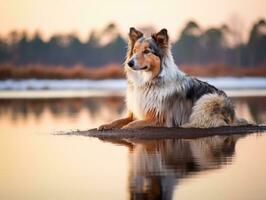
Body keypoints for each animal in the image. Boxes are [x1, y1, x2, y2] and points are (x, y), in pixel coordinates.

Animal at [98, 27, 247, 130]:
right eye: (134, 51)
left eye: (146, 51)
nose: (130, 63)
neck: (148, 81)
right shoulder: (134, 113)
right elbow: (119, 120)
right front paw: (106, 125)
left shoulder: (158, 118)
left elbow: (133, 124)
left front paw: (125, 127)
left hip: (210, 99)